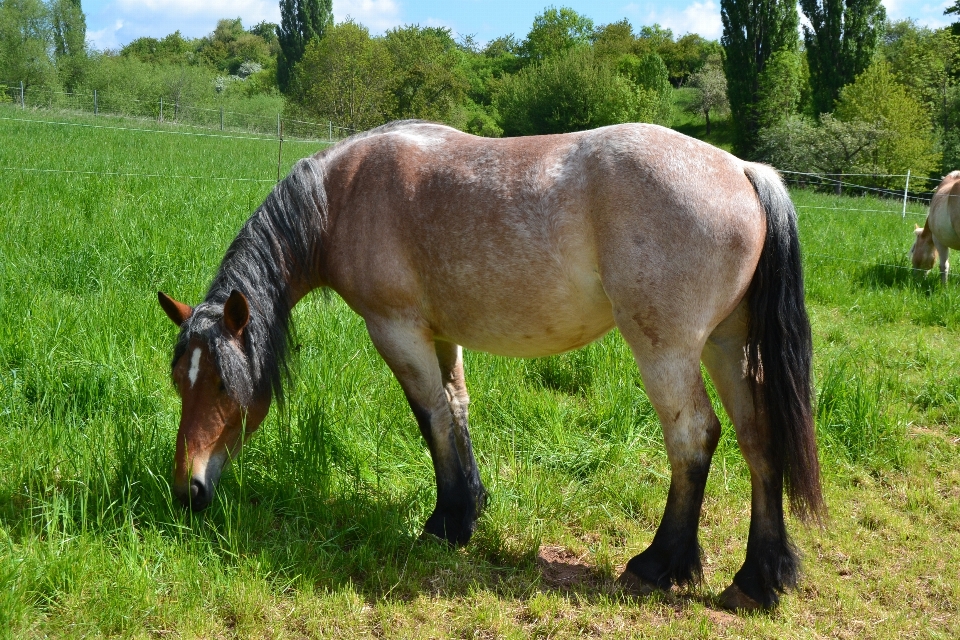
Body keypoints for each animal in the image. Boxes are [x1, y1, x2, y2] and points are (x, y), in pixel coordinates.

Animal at [159, 119, 824, 608]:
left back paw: (661, 564)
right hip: (726, 347)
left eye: (224, 385)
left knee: (694, 438)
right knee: (758, 438)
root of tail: (743, 170)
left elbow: (430, 416)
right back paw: (759, 579)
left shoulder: (397, 331)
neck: (343, 195)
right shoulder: (439, 335)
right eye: (180, 383)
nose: (188, 490)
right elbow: (456, 409)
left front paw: (445, 522)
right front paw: (469, 507)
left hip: (668, 351)